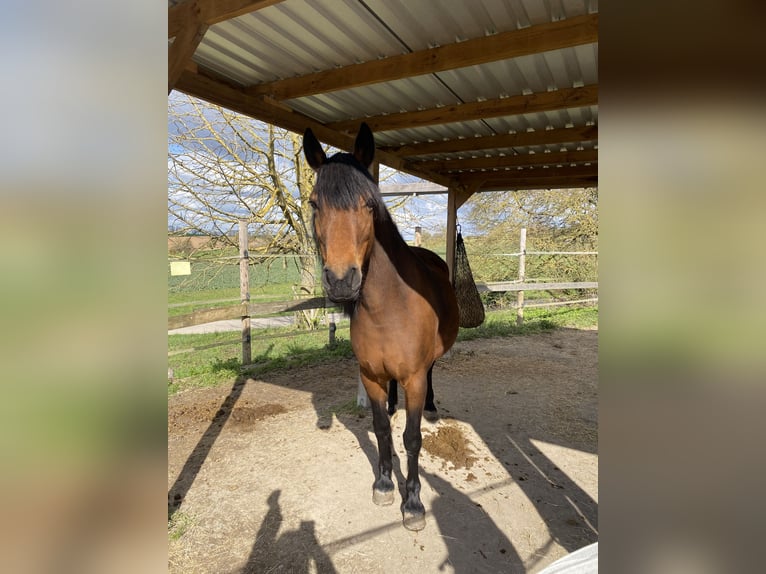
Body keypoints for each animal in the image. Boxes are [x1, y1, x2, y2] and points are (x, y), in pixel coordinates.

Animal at [303, 123, 459, 531]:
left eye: (368, 204)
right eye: (314, 203)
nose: (342, 281)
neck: (388, 307)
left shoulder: (415, 379)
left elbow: (412, 438)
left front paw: (414, 503)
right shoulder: (370, 375)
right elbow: (381, 429)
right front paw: (386, 483)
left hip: (426, 368)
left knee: (432, 374)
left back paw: (432, 408)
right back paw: (391, 405)